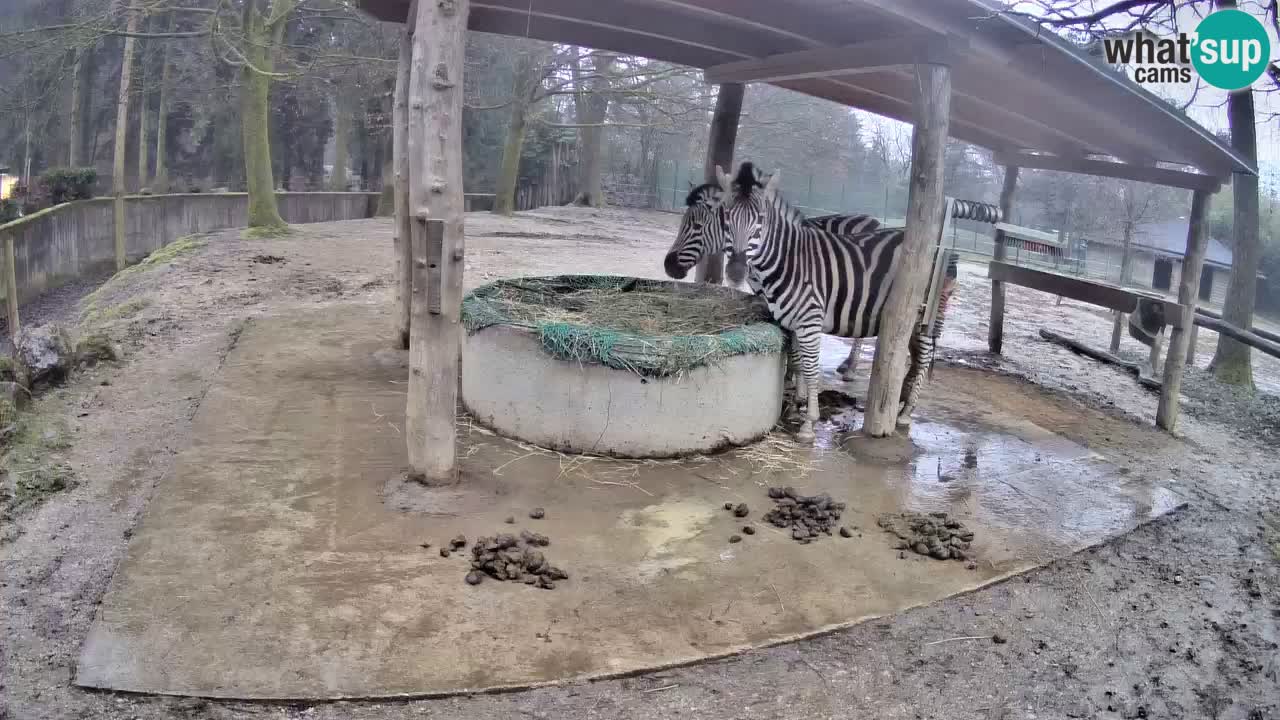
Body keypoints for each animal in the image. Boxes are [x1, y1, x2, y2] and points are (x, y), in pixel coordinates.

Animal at [709, 162, 958, 442]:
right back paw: (902, 402)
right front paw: (795, 406)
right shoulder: (790, 321)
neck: (787, 260)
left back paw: (905, 414)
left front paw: (809, 423)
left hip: (924, 316)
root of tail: (940, 250)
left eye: (761, 220)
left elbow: (810, 367)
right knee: (915, 360)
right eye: (726, 216)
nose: (736, 272)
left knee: (923, 361)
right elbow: (797, 361)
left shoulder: (809, 320)